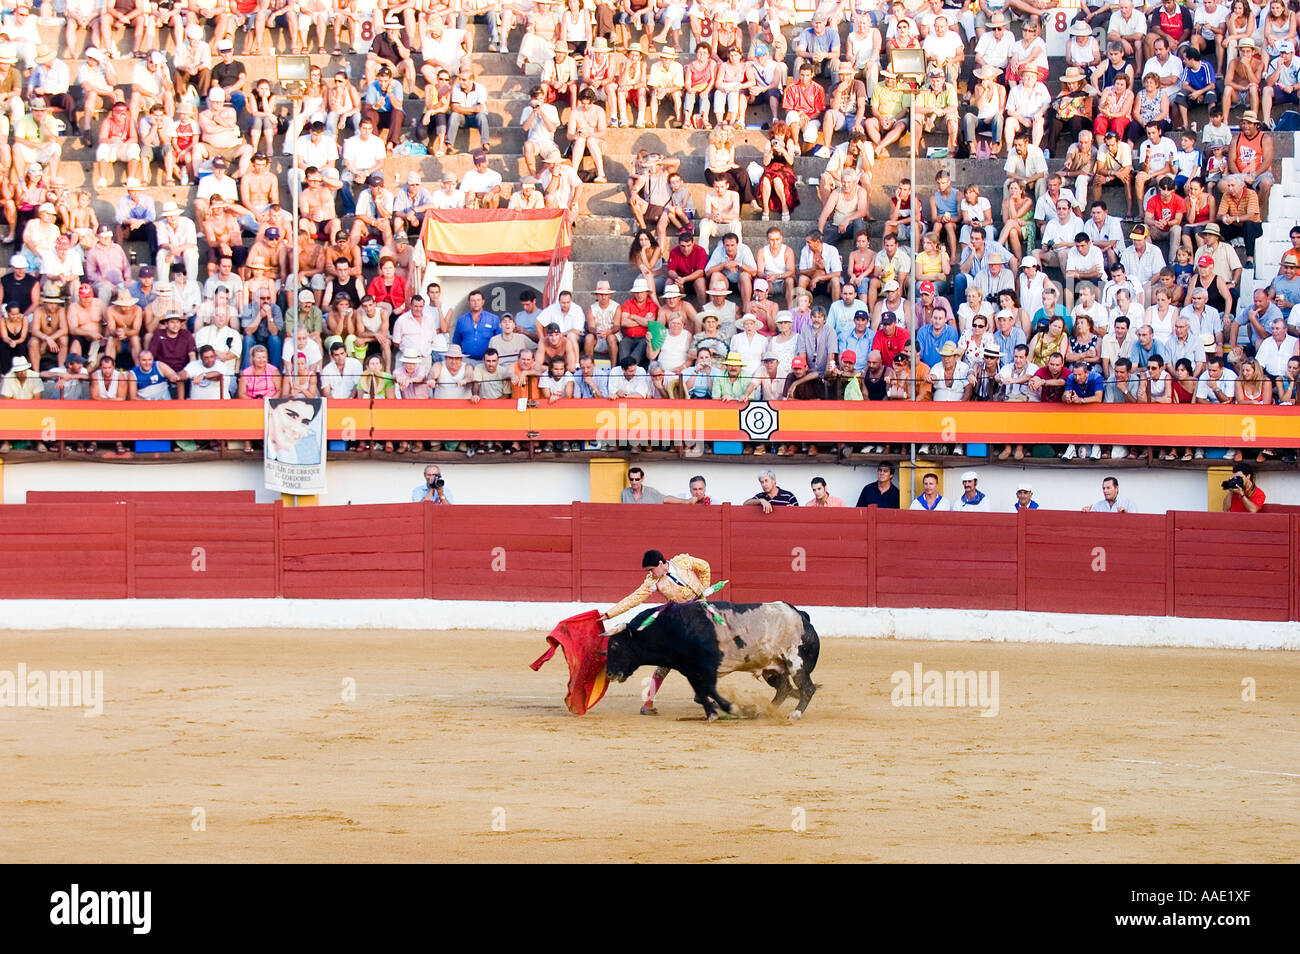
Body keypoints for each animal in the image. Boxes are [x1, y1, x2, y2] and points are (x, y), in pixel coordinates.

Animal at [602, 600, 820, 721]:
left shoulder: (707, 667)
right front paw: (713, 713)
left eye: (615, 645)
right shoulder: (689, 669)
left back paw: (795, 714)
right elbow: (701, 693)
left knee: (807, 688)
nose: (610, 673)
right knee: (783, 688)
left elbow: (708, 690)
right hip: (771, 668)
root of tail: (801, 615)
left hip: (796, 662)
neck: (672, 627)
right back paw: (764, 711)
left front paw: (731, 708)